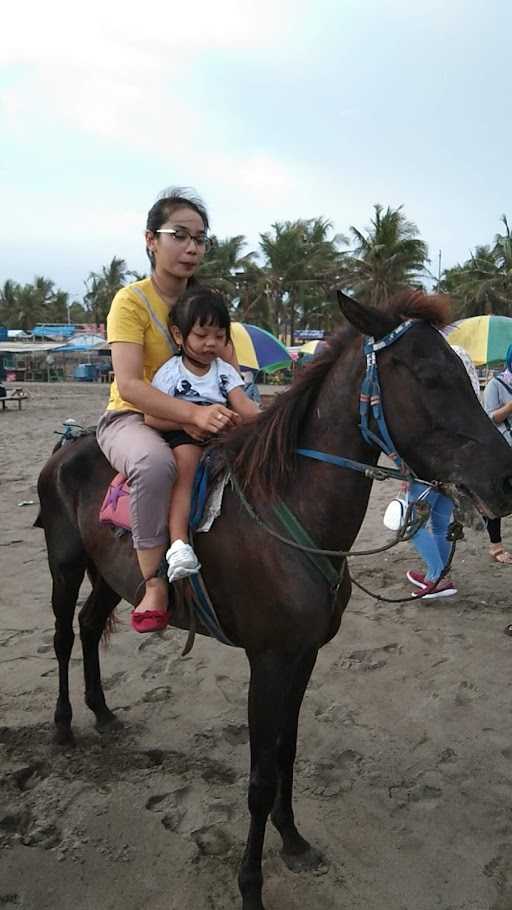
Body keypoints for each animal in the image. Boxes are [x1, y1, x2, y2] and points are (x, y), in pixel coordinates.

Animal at [37, 294, 512, 910]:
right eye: (432, 376)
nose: (506, 478)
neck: (291, 511)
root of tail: (67, 449)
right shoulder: (268, 662)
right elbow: (260, 777)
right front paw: (251, 885)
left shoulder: (303, 656)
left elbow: (286, 751)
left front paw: (293, 840)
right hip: (66, 565)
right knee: (63, 636)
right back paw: (65, 725)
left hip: (112, 579)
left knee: (91, 627)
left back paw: (101, 711)